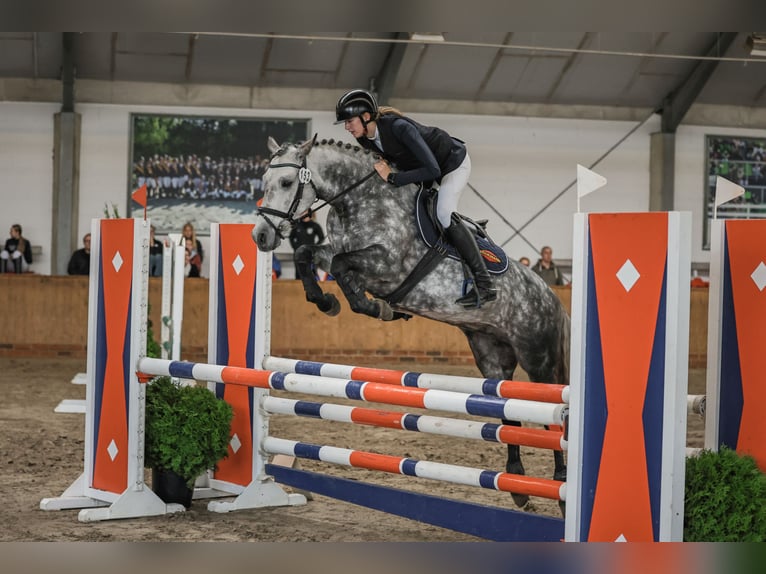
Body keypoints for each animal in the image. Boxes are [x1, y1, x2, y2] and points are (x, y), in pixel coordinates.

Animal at [255, 136, 572, 508]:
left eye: (287, 182)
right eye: (265, 181)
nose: (260, 237)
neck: (359, 199)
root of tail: (552, 298)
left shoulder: (389, 264)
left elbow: (341, 265)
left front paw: (375, 307)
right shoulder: (336, 251)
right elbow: (309, 254)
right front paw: (327, 302)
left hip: (538, 359)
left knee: (552, 418)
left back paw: (561, 484)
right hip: (492, 357)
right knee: (508, 411)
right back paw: (519, 487)